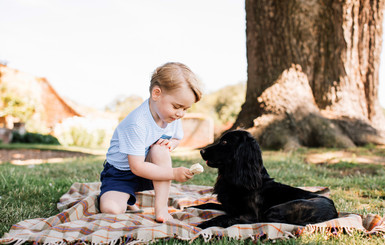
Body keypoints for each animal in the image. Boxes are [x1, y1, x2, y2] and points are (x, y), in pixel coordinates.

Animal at [194, 131, 338, 229]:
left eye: (224, 142)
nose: (201, 151)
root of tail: (335, 213)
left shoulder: (250, 214)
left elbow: (223, 216)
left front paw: (202, 225)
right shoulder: (229, 207)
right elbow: (206, 204)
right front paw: (191, 207)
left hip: (276, 209)